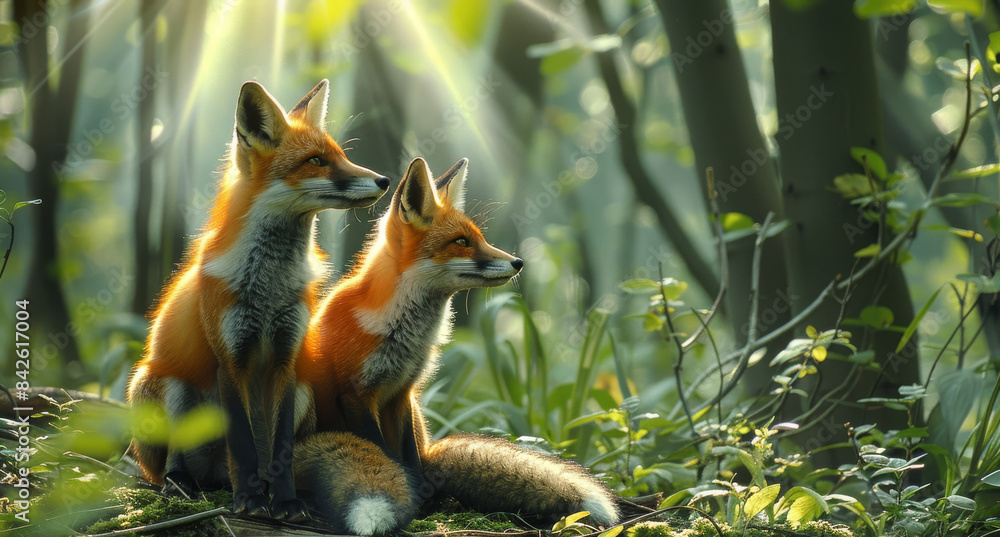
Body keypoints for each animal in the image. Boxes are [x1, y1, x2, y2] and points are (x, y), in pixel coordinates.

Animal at [126, 79, 390, 522]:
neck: (268, 290)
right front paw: (249, 501)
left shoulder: (286, 358)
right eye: (316, 161)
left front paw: (284, 502)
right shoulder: (231, 357)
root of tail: (213, 475)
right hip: (165, 384)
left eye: (341, 156)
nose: (385, 180)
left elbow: (279, 448)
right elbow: (244, 445)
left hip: (304, 392)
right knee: (173, 460)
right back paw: (181, 484)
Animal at [292, 157, 619, 535]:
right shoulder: (356, 394)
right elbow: (379, 449)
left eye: (480, 238)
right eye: (461, 241)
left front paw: (420, 502)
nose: (518, 262)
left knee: (420, 459)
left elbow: (406, 457)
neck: (403, 332)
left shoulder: (403, 392)